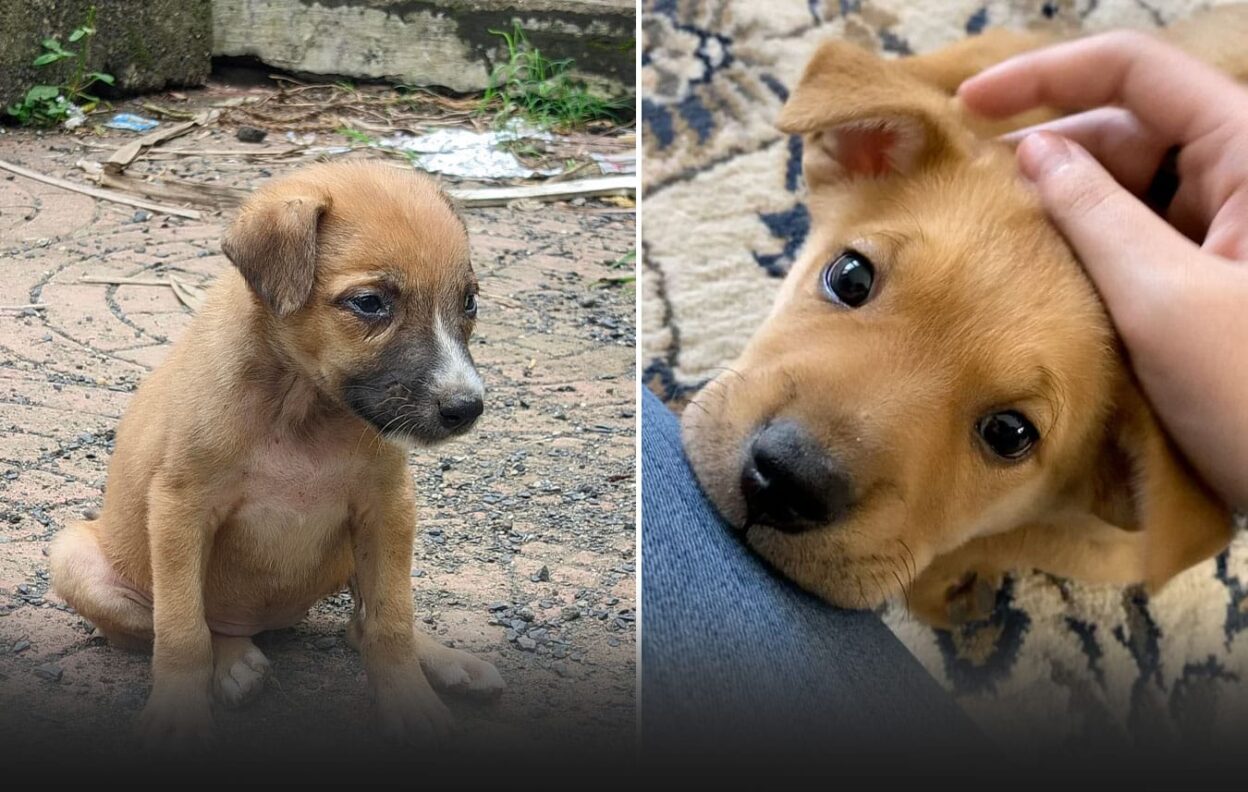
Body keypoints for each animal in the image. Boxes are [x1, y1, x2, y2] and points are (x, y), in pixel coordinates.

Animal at [48, 159, 504, 748]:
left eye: (469, 301)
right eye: (370, 303)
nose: (466, 407)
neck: (301, 409)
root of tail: (263, 623)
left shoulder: (387, 510)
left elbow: (391, 620)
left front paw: (410, 702)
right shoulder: (178, 511)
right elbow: (182, 631)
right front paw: (177, 714)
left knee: (362, 621)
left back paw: (451, 664)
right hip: (75, 559)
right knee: (196, 625)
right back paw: (234, 661)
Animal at [683, 4, 1248, 626]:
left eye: (1009, 433)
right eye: (850, 276)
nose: (785, 480)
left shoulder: (1114, 548)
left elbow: (1010, 541)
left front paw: (949, 585)